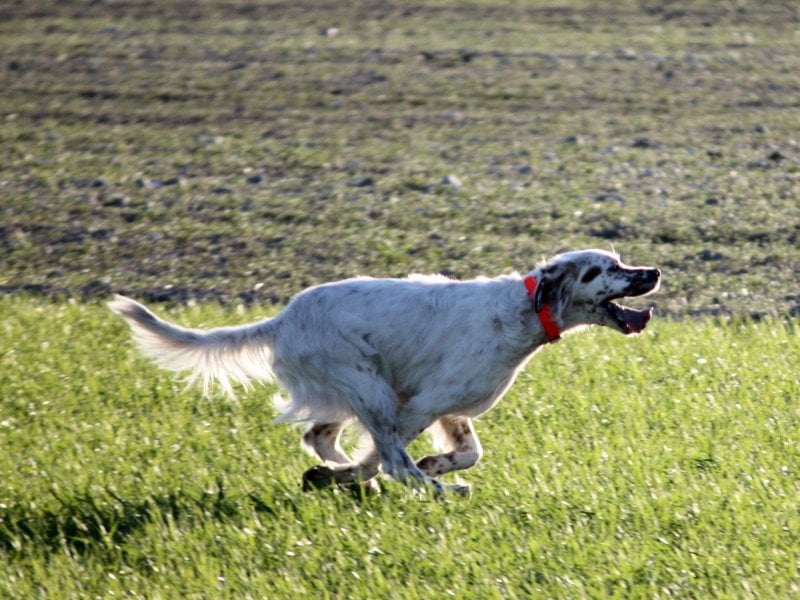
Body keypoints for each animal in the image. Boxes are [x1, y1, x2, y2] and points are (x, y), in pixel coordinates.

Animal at [112, 251, 664, 494]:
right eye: (608, 269)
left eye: (622, 261)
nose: (654, 271)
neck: (523, 310)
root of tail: (283, 318)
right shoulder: (418, 404)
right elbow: (389, 457)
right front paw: (415, 474)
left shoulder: (447, 408)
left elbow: (468, 453)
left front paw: (433, 463)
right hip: (369, 388)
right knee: (383, 458)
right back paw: (431, 490)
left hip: (357, 391)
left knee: (319, 435)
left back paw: (345, 475)